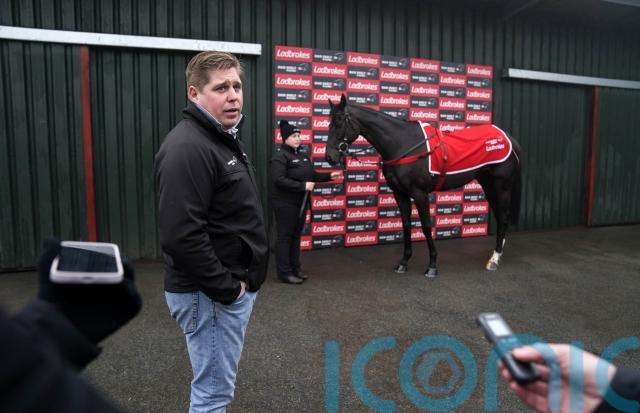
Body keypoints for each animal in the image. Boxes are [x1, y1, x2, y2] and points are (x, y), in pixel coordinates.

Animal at [325, 94, 522, 277]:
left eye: (340, 121)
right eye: (330, 122)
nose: (330, 157)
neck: (403, 144)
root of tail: (508, 138)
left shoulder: (419, 193)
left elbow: (426, 226)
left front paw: (432, 265)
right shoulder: (400, 193)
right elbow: (406, 225)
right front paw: (403, 263)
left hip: (502, 187)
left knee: (503, 217)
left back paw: (495, 259)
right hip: (489, 186)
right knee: (500, 217)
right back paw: (497, 253)